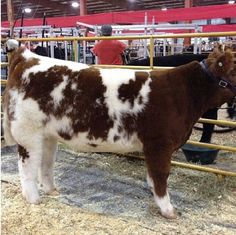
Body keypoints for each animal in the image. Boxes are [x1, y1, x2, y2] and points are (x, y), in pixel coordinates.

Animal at [2, 39, 235, 218]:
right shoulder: (159, 144)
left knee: (46, 163)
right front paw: (168, 210)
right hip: (28, 133)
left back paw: (52, 191)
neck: (185, 92)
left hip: (48, 135)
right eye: (234, 68)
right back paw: (34, 199)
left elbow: (153, 177)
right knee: (27, 167)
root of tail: (27, 57)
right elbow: (161, 176)